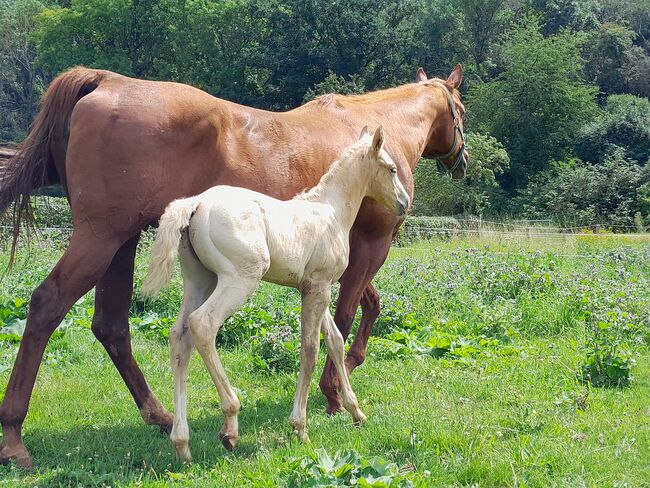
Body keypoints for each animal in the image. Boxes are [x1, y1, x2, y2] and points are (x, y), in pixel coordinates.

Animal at [142, 126, 408, 462]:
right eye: (392, 169)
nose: (404, 203)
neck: (331, 211)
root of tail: (196, 203)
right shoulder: (319, 287)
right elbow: (310, 350)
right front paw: (300, 427)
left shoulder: (314, 287)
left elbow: (335, 341)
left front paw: (355, 411)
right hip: (239, 279)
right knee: (203, 324)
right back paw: (230, 425)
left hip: (199, 281)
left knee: (180, 336)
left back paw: (182, 444)